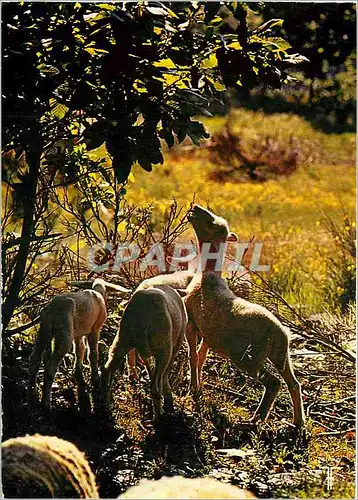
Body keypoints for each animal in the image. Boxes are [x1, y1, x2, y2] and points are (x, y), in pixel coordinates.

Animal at [26, 276, 130, 412]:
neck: (98, 292)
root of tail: (52, 309)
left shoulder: (79, 333)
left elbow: (80, 349)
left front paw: (78, 372)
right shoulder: (95, 329)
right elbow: (92, 354)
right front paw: (95, 379)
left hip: (44, 330)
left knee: (34, 359)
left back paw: (32, 393)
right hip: (64, 333)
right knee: (50, 367)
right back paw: (46, 403)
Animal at [185, 205, 304, 428]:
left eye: (212, 223)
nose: (195, 208)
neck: (208, 275)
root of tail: (279, 332)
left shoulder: (192, 323)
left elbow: (193, 357)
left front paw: (194, 389)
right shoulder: (209, 334)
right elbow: (202, 358)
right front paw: (199, 386)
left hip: (247, 356)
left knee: (274, 383)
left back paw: (257, 418)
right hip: (281, 355)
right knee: (293, 384)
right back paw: (298, 422)